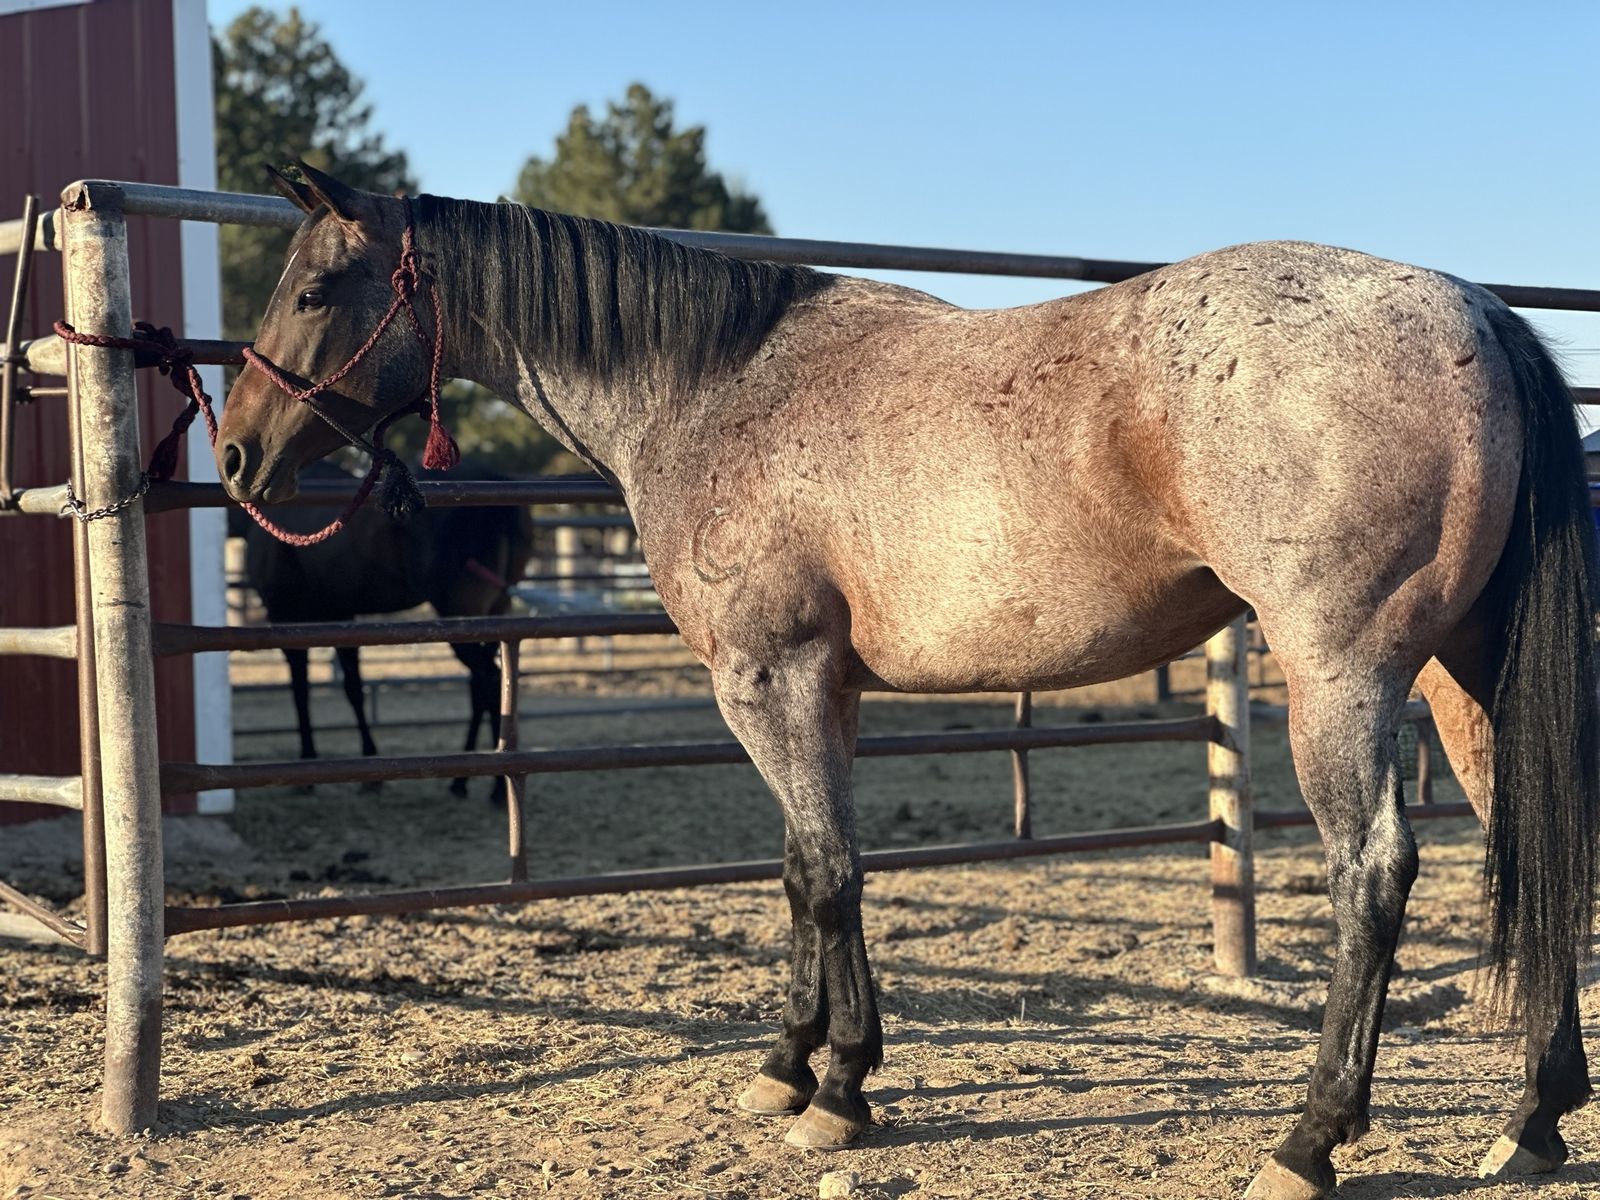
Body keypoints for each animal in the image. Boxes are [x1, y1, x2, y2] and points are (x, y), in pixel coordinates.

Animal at [236, 456, 534, 796]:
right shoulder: (340, 616)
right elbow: (353, 688)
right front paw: (370, 768)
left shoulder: (286, 616)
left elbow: (300, 690)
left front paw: (308, 765)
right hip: (494, 610)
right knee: (485, 683)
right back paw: (467, 780)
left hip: (460, 613)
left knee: (489, 681)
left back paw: (493, 784)